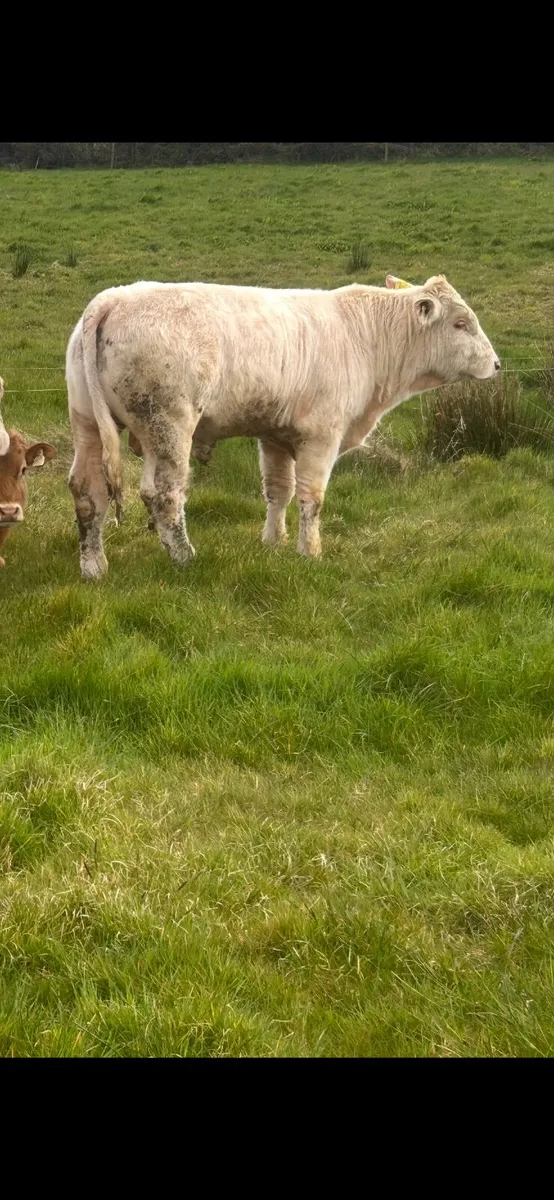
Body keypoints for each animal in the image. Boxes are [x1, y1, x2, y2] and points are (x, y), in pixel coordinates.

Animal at [66, 274, 500, 580]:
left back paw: (93, 565)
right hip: (169, 427)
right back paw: (184, 557)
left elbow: (279, 491)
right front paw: (311, 551)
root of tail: (115, 297)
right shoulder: (322, 436)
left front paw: (274, 542)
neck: (367, 338)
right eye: (461, 323)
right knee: (164, 494)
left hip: (87, 423)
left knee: (87, 491)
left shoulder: (273, 435)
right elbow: (312, 496)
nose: (496, 364)